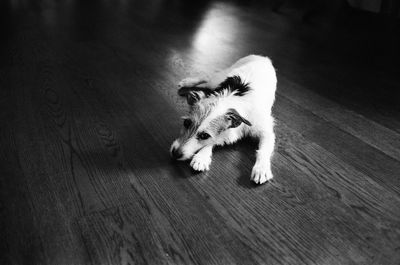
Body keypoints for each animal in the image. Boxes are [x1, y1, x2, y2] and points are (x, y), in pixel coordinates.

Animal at [170, 54, 276, 184]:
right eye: (186, 123)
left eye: (204, 135)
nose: (175, 153)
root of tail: (262, 57)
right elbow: (215, 140)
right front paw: (202, 156)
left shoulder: (266, 132)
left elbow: (263, 150)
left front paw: (261, 168)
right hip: (219, 79)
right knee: (207, 78)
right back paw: (188, 81)